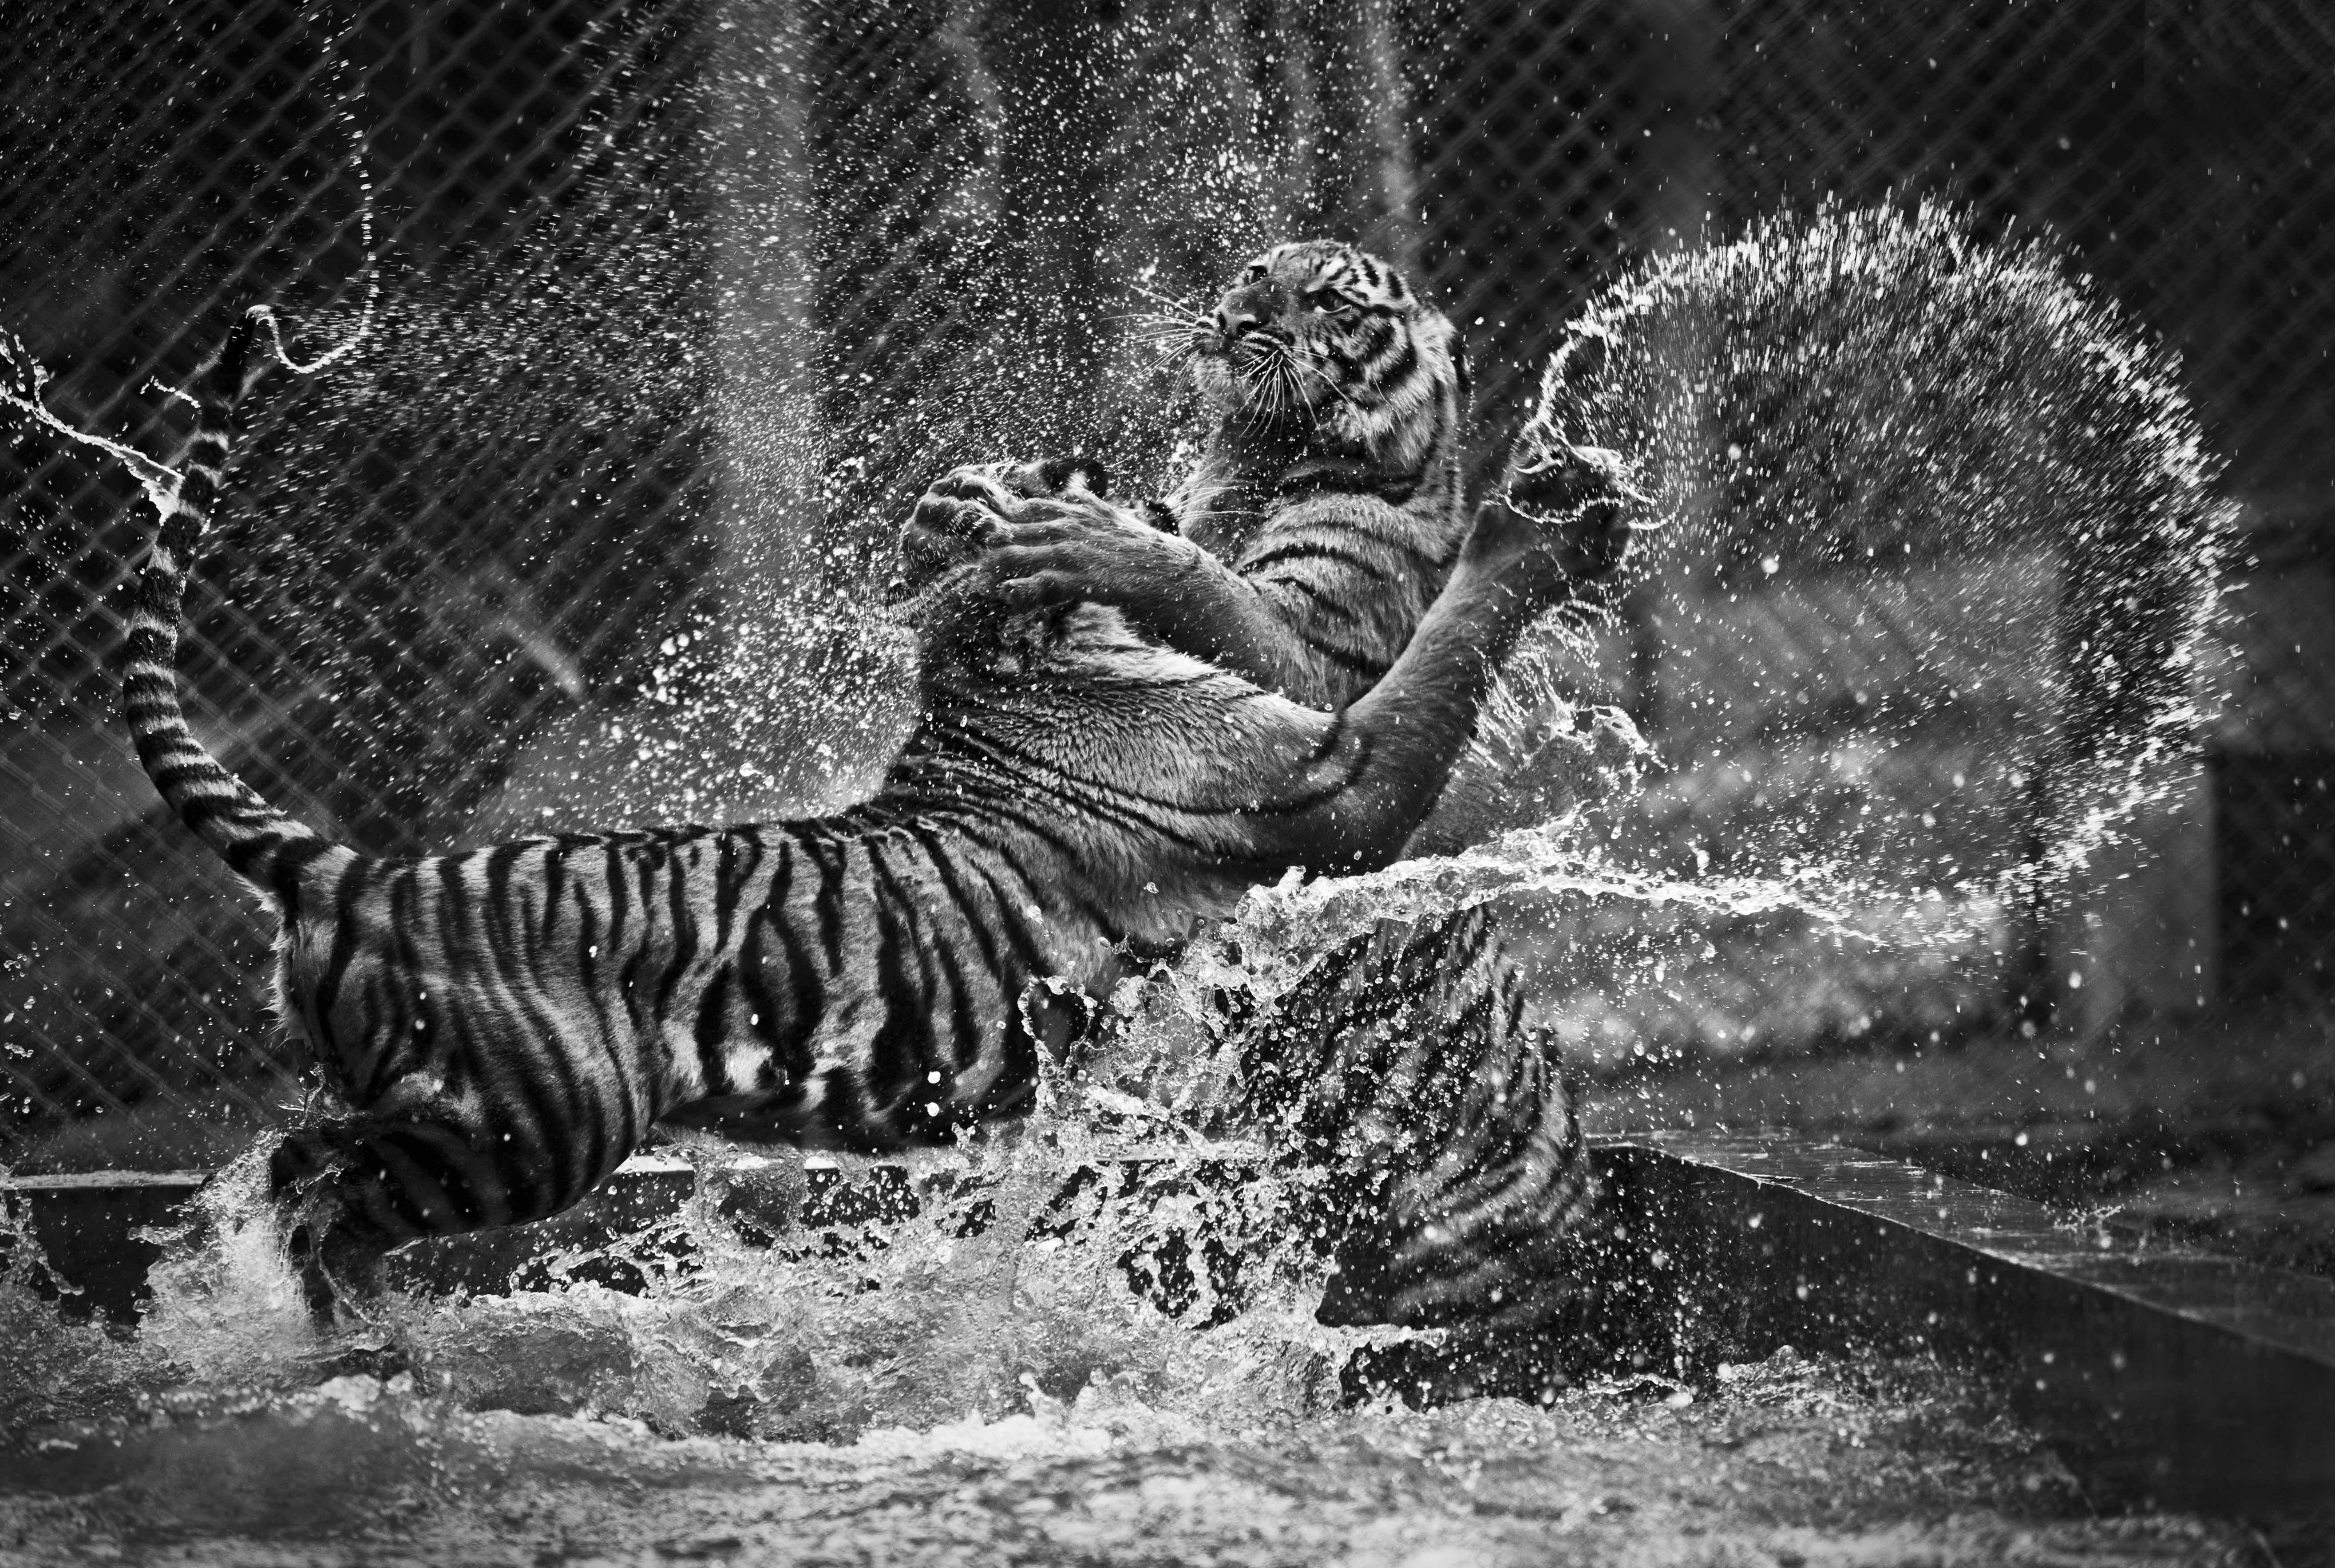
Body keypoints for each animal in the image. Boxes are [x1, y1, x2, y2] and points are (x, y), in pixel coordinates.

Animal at [124, 303, 1630, 1320]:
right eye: (1059, 475)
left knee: (292, 1164)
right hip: (523, 1129)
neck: (992, 647)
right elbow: (1434, 658)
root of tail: (358, 875)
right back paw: (327, 1325)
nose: (1100, 458)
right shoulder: (1326, 776)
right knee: (318, 1188)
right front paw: (1533, 524)